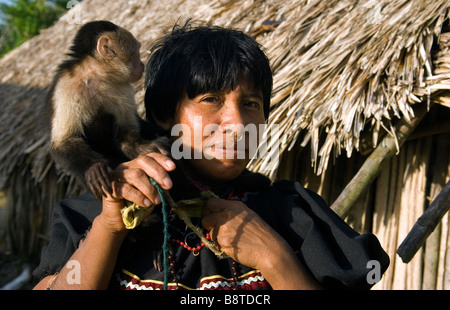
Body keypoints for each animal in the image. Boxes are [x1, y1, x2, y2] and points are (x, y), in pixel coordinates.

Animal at [46, 20, 168, 197]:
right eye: (137, 51)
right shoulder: (67, 88)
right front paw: (94, 167)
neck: (96, 76)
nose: (142, 64)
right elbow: (63, 142)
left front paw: (143, 147)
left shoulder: (121, 86)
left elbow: (125, 130)